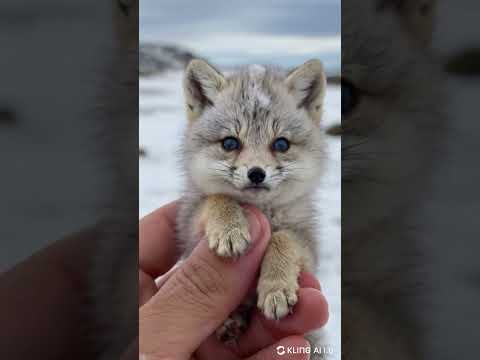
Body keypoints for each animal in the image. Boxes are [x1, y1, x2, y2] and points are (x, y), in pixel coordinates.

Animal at [178, 59, 328, 340]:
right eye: (230, 143)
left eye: (281, 144)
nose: (256, 174)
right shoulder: (189, 233)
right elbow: (218, 198)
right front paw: (230, 229)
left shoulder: (308, 247)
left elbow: (283, 238)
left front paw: (276, 287)